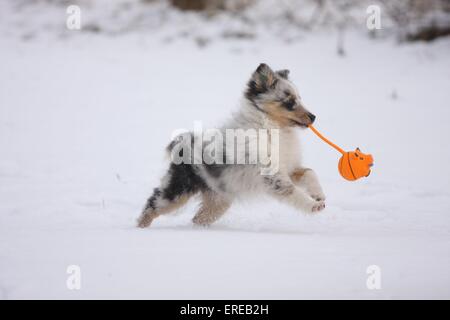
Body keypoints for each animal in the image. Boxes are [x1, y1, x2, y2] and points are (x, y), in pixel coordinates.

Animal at [137, 62, 324, 228]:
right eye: (290, 102)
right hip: (178, 191)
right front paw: (314, 205)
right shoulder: (273, 176)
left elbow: (310, 172)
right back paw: (140, 227)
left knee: (198, 218)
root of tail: (184, 144)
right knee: (153, 204)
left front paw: (318, 195)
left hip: (219, 200)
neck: (270, 128)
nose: (313, 117)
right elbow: (294, 192)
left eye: (299, 98)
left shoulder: (289, 168)